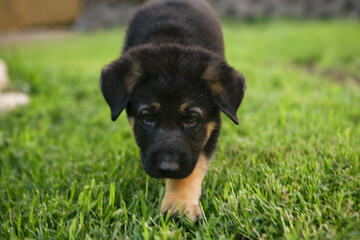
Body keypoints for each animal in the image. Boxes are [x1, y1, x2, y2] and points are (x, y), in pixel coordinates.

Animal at [101, 0, 248, 221]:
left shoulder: (211, 126)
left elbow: (192, 168)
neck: (172, 40)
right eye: (147, 117)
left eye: (192, 119)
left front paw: (179, 204)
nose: (167, 168)